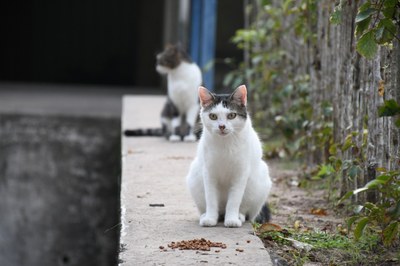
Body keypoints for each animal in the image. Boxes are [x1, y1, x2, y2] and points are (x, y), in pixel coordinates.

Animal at [187, 84, 274, 227]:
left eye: (232, 115)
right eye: (213, 116)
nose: (222, 126)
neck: (225, 144)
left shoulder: (240, 173)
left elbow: (234, 200)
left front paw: (232, 219)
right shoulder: (209, 172)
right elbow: (210, 198)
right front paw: (210, 218)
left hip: (261, 180)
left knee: (249, 213)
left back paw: (239, 216)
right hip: (194, 175)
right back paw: (206, 215)